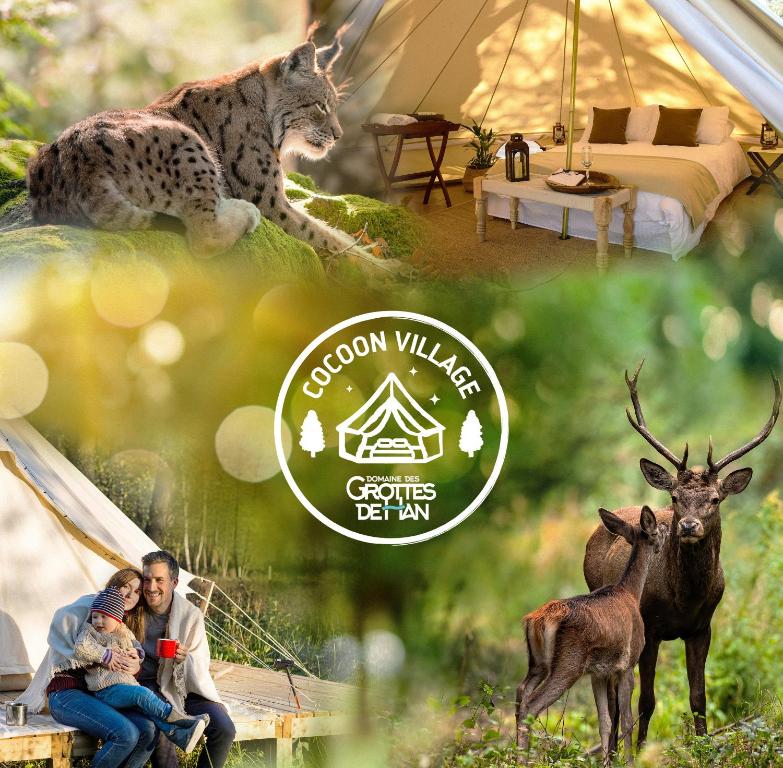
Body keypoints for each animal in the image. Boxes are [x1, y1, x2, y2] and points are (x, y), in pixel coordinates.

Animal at [516, 508, 664, 764]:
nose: (663, 539)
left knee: (521, 693)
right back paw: (523, 760)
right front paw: (629, 762)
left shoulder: (598, 673)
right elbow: (627, 720)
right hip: (568, 663)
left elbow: (604, 721)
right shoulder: (627, 663)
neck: (631, 593)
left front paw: (607, 762)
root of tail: (537, 620)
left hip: (537, 662)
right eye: (656, 532)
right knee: (532, 706)